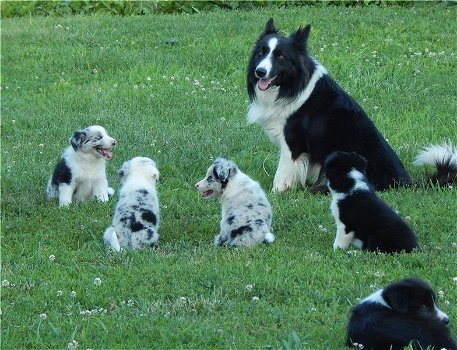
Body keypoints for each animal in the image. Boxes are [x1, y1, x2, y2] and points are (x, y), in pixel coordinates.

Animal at [246, 17, 410, 193]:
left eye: (280, 57)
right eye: (261, 53)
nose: (260, 71)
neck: (292, 86)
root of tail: (406, 182)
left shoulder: (292, 142)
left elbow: (283, 172)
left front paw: (276, 193)